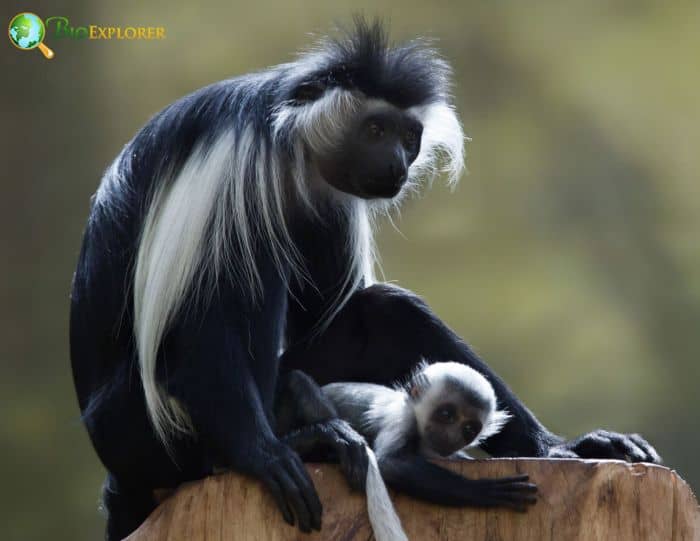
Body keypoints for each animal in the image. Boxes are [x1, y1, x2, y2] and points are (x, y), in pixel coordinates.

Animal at [71, 17, 660, 540]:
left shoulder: (329, 202)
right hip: (146, 427)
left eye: (408, 135)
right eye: (376, 129)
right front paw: (263, 456)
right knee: (242, 300)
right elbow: (201, 327)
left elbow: (344, 307)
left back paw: (562, 449)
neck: (291, 151)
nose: (398, 162)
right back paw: (293, 446)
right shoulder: (233, 166)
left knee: (387, 311)